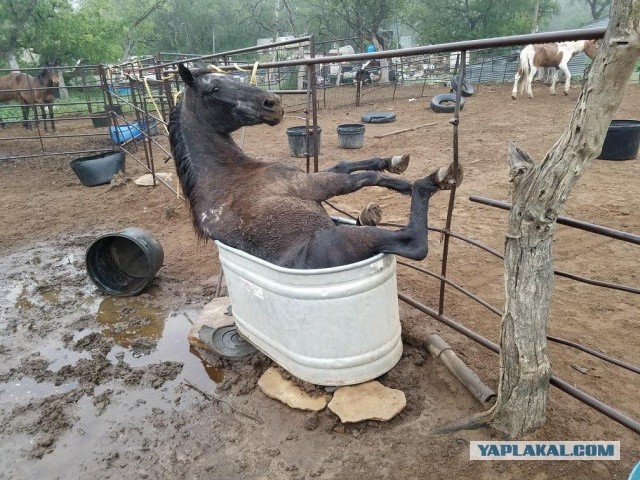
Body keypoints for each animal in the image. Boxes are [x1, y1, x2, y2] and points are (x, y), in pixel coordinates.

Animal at [168, 62, 462, 270]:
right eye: (214, 89)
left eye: (232, 78)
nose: (272, 104)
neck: (231, 175)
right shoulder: (309, 185)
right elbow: (363, 178)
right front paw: (405, 182)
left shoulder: (310, 178)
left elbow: (348, 164)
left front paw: (395, 167)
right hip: (350, 238)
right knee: (413, 242)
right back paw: (438, 178)